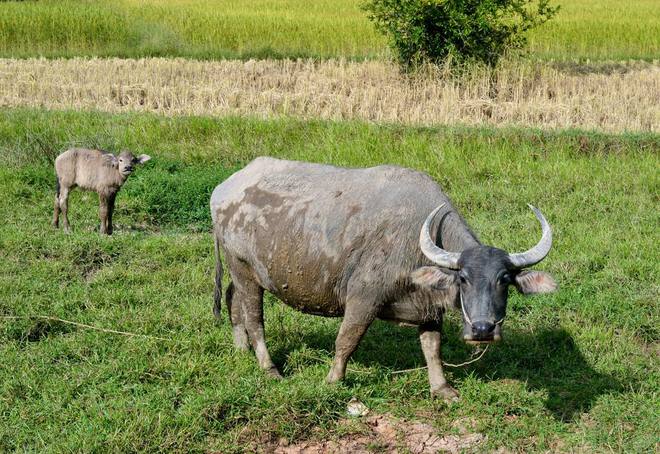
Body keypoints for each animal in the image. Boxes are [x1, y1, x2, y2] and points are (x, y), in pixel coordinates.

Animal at [211, 158, 556, 400]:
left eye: (504, 279)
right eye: (464, 278)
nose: (482, 330)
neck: (416, 239)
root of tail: (224, 189)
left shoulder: (428, 308)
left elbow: (433, 347)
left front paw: (442, 389)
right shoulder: (363, 298)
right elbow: (346, 340)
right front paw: (333, 380)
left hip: (240, 272)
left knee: (232, 301)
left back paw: (241, 350)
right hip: (243, 269)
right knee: (254, 318)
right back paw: (269, 368)